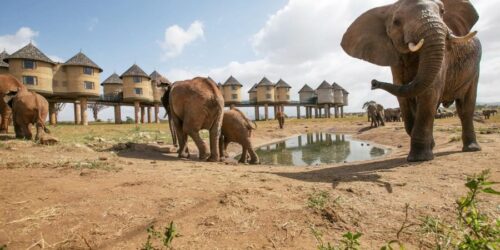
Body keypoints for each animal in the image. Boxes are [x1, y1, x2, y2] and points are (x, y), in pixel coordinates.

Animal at [342, 0, 482, 162]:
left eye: (442, 11)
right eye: (396, 22)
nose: (373, 82)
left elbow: (429, 93)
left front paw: (419, 158)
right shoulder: (394, 57)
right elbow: (404, 98)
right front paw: (428, 148)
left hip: (475, 69)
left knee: (465, 108)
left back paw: (471, 149)